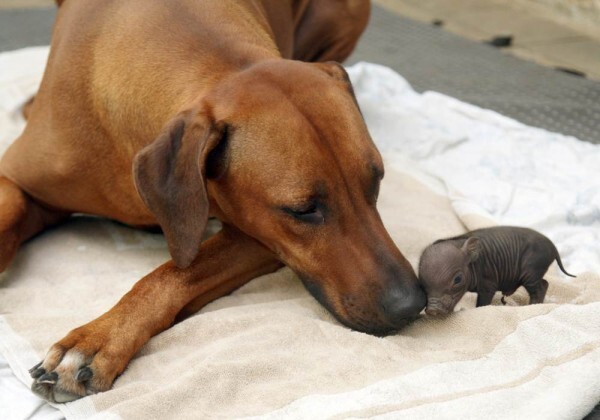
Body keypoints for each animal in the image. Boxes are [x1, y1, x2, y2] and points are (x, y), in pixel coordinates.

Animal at [0, 0, 426, 404]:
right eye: (303, 210)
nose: (412, 304)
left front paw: (97, 340)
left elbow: (173, 273)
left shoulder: (262, 237)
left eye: (377, 180)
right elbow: (13, 208)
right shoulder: (17, 175)